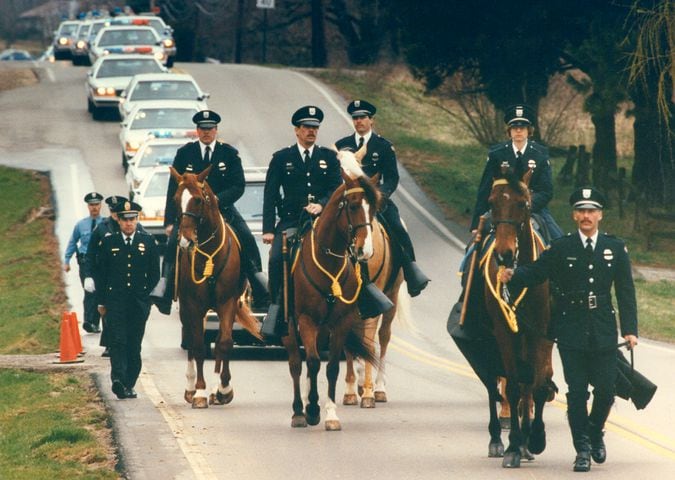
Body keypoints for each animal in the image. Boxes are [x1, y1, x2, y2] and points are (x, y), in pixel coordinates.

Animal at [172, 166, 262, 408]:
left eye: (197, 200)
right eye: (175, 199)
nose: (185, 241)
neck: (210, 253)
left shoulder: (227, 303)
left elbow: (224, 343)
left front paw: (222, 389)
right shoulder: (194, 305)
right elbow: (198, 346)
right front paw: (200, 391)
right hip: (187, 309)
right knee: (191, 342)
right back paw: (190, 388)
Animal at [282, 155, 382, 432]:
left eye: (374, 208)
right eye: (353, 206)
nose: (365, 251)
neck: (329, 260)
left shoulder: (340, 322)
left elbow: (333, 367)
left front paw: (330, 415)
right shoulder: (306, 320)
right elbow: (313, 363)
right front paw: (313, 410)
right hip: (290, 326)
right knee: (296, 364)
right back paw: (299, 411)